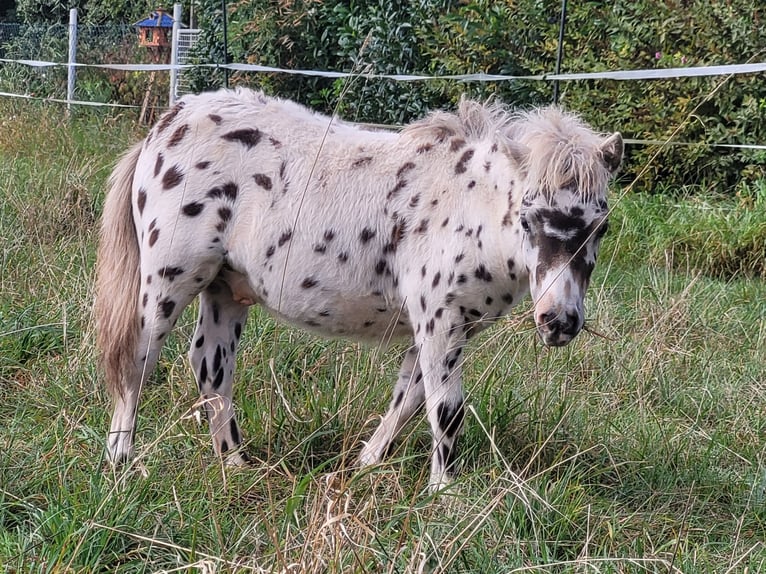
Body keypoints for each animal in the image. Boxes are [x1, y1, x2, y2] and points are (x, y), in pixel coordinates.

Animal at [96, 89, 624, 490]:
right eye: (529, 217)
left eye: (600, 227)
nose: (559, 321)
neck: (470, 207)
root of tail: (166, 123)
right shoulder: (440, 320)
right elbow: (445, 407)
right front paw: (444, 495)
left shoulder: (444, 328)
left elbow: (409, 399)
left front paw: (365, 466)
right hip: (169, 279)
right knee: (138, 360)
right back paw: (123, 462)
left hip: (225, 289)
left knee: (211, 367)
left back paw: (235, 465)